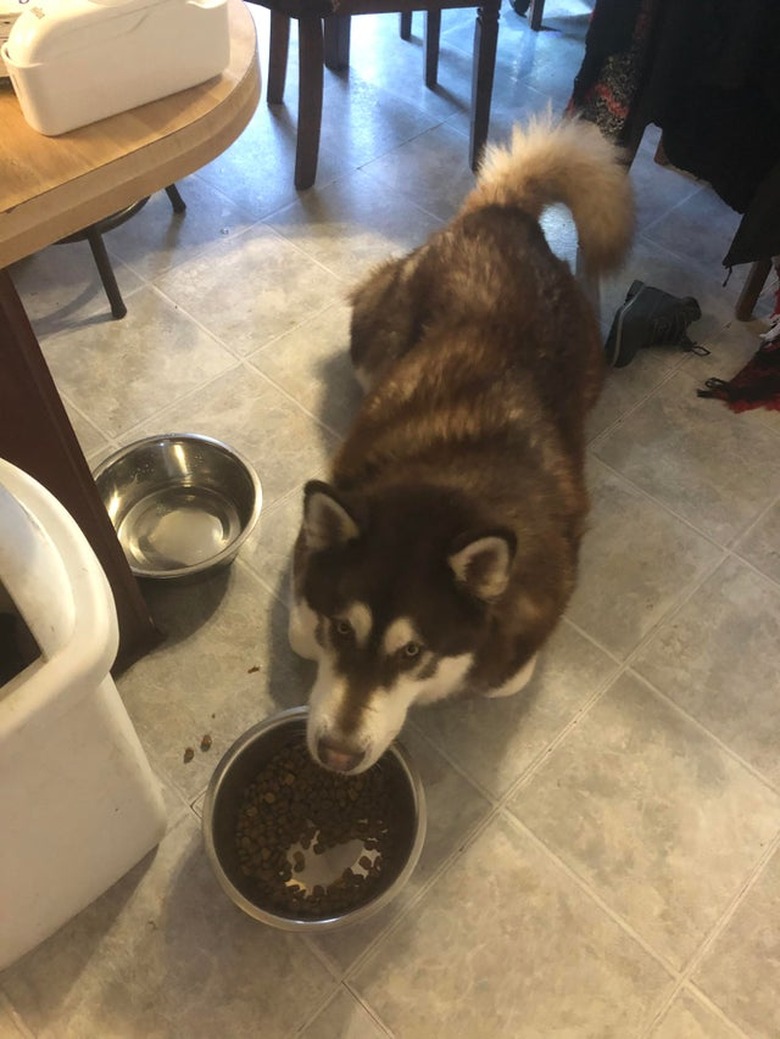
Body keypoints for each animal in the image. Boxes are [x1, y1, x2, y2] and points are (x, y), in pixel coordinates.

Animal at [286, 113, 635, 773]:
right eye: (342, 630)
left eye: (411, 653)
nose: (336, 755)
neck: (447, 490)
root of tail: (504, 214)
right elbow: (299, 629)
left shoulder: (530, 621)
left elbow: (504, 679)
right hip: (373, 337)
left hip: (592, 363)